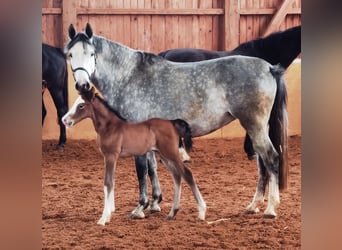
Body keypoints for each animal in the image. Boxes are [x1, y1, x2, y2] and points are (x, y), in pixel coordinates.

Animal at [62, 87, 206, 226]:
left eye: (81, 105)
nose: (65, 120)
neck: (110, 127)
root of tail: (172, 122)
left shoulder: (111, 156)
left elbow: (107, 183)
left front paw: (103, 218)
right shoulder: (109, 157)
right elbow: (112, 182)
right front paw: (109, 214)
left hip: (171, 154)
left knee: (187, 174)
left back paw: (201, 212)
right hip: (165, 156)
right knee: (177, 176)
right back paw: (172, 213)